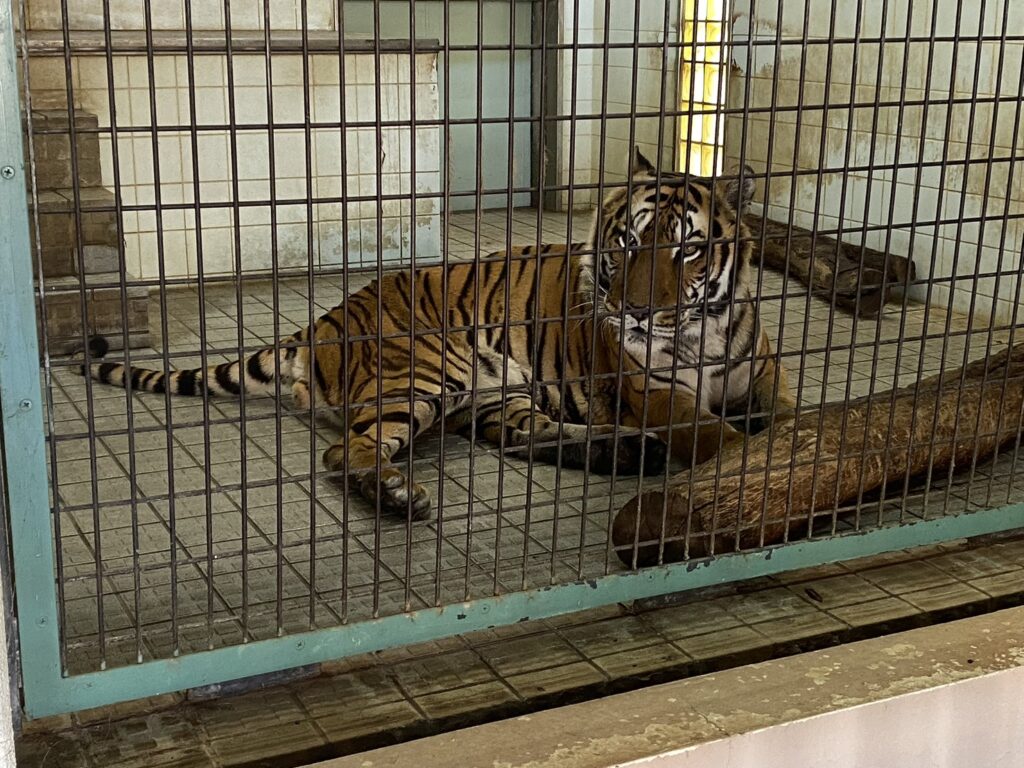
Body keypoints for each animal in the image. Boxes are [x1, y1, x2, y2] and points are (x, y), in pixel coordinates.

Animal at [82, 147, 793, 521]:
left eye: (689, 249)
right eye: (628, 243)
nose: (637, 313)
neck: (704, 331)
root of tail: (322, 322)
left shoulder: (765, 374)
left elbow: (787, 412)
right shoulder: (653, 390)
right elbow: (710, 431)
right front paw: (750, 458)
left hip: (497, 394)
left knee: (522, 436)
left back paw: (622, 453)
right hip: (426, 371)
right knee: (345, 452)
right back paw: (397, 495)